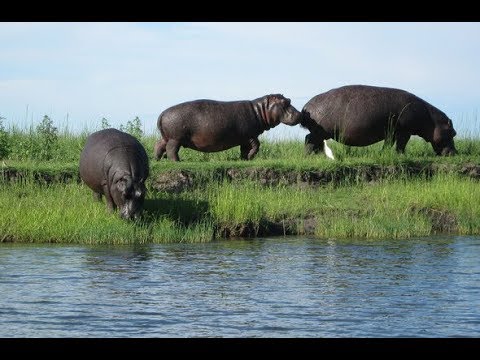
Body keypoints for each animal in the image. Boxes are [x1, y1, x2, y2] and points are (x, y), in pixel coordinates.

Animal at [154, 93, 302, 161]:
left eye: (289, 100)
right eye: (285, 102)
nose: (300, 114)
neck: (260, 110)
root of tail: (162, 113)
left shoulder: (245, 138)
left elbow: (244, 149)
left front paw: (244, 159)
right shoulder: (250, 135)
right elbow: (257, 145)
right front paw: (250, 156)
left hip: (167, 137)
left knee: (159, 145)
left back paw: (157, 159)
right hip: (175, 138)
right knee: (171, 150)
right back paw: (177, 161)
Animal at [302, 85, 456, 158]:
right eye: (452, 132)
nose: (455, 152)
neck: (432, 121)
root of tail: (306, 107)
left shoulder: (392, 132)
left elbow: (389, 144)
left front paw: (383, 153)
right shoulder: (404, 131)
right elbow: (401, 144)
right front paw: (402, 155)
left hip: (322, 133)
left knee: (313, 141)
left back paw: (317, 154)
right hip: (320, 132)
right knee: (309, 139)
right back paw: (311, 155)